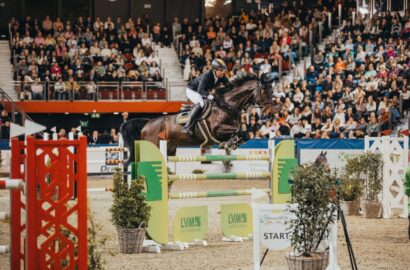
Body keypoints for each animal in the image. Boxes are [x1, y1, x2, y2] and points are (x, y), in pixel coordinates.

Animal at [121, 74, 276, 167]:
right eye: (264, 91)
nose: (270, 113)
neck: (227, 106)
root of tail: (147, 123)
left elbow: (245, 133)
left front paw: (232, 143)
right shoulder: (217, 130)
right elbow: (240, 131)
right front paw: (231, 143)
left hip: (170, 149)